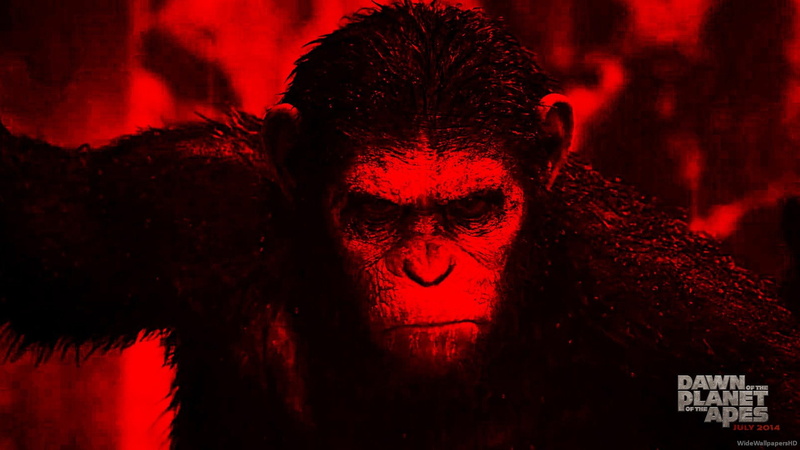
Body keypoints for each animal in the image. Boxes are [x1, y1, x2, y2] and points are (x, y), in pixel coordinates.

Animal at [1, 2, 799, 449]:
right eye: (374, 214)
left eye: (475, 209)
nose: (428, 268)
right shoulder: (182, 201)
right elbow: (44, 224)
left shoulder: (679, 306)